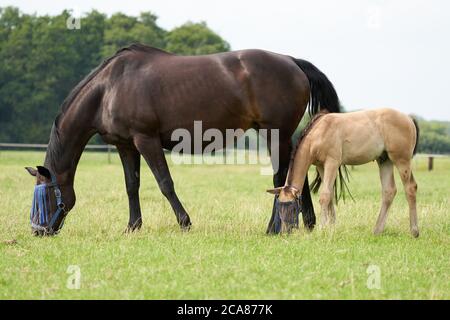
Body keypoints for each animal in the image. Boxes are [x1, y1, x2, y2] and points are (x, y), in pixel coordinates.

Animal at [25, 43, 342, 235]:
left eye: (44, 197)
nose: (39, 232)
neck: (109, 88)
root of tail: (291, 61)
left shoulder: (146, 140)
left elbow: (165, 183)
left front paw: (185, 223)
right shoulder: (125, 146)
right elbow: (131, 186)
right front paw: (133, 226)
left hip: (276, 134)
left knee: (281, 178)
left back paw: (274, 228)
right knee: (295, 175)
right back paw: (306, 225)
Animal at [266, 109, 420, 236]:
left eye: (293, 207)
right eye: (279, 206)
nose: (284, 232)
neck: (319, 133)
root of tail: (408, 118)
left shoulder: (332, 163)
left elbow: (325, 195)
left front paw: (322, 228)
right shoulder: (321, 166)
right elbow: (330, 196)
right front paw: (331, 227)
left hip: (401, 160)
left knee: (410, 188)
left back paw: (414, 231)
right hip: (384, 160)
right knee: (389, 191)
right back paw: (377, 230)